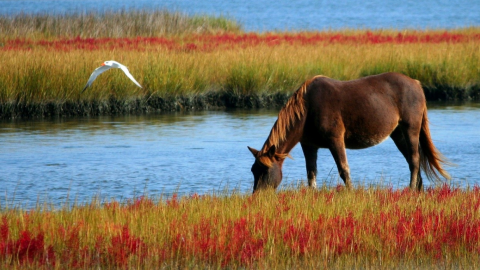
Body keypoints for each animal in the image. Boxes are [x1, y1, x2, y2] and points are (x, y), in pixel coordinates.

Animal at [248, 71, 450, 192]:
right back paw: (418, 189)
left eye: (265, 170)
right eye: (253, 170)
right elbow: (311, 173)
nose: (258, 196)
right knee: (411, 159)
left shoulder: (335, 140)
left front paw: (350, 192)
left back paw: (411, 189)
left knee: (415, 159)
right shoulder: (309, 145)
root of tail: (416, 84)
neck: (307, 108)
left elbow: (343, 169)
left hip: (411, 128)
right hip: (398, 134)